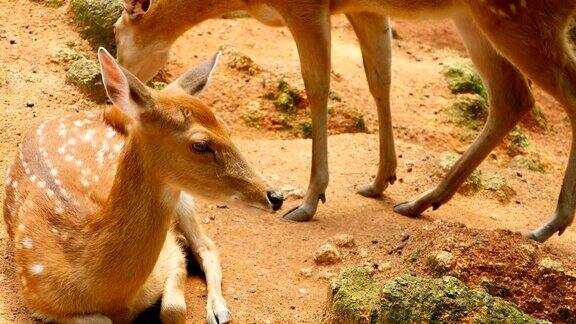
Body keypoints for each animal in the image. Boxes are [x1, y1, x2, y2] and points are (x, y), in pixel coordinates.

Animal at [3, 48, 284, 324]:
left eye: (227, 129)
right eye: (200, 145)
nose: (276, 196)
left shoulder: (171, 254)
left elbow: (173, 308)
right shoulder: (37, 297)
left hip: (184, 199)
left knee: (207, 246)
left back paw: (218, 311)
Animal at [113, 0, 576, 242]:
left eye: (116, 34)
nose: (116, 107)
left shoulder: (306, 8)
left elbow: (317, 86)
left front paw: (308, 201)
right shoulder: (367, 8)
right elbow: (379, 78)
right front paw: (381, 179)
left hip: (520, 16)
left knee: (559, 92)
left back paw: (549, 223)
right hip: (477, 17)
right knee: (512, 96)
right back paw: (422, 201)